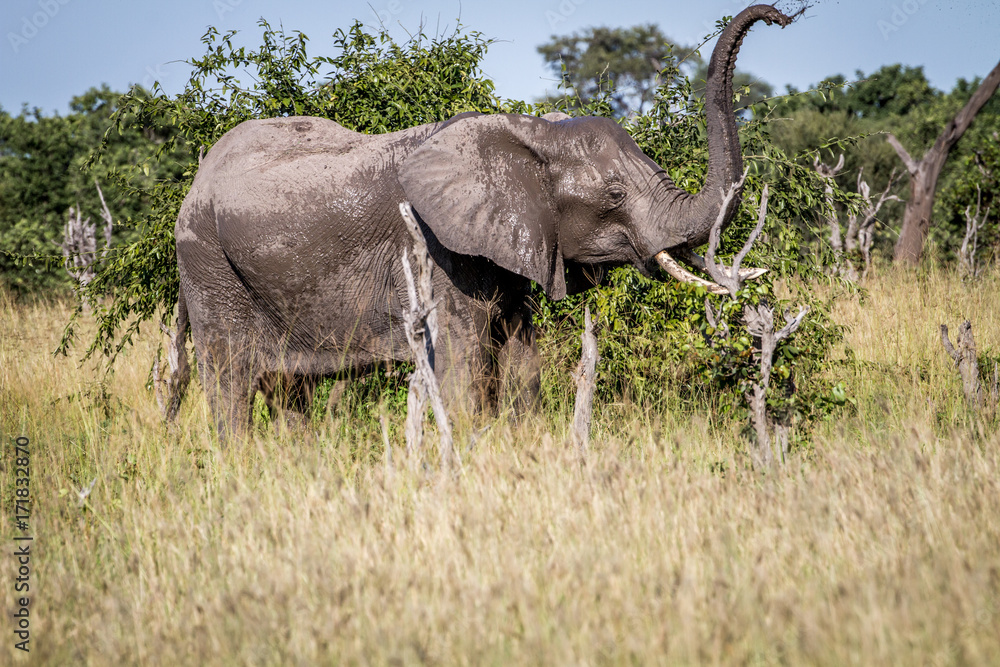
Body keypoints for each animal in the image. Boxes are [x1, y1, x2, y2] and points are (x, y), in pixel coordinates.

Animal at [175, 5, 793, 438]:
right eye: (615, 193)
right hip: (208, 264)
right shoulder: (436, 251)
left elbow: (522, 358)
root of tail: (197, 181)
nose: (782, 17)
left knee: (288, 391)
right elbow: (463, 365)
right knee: (230, 382)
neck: (531, 133)